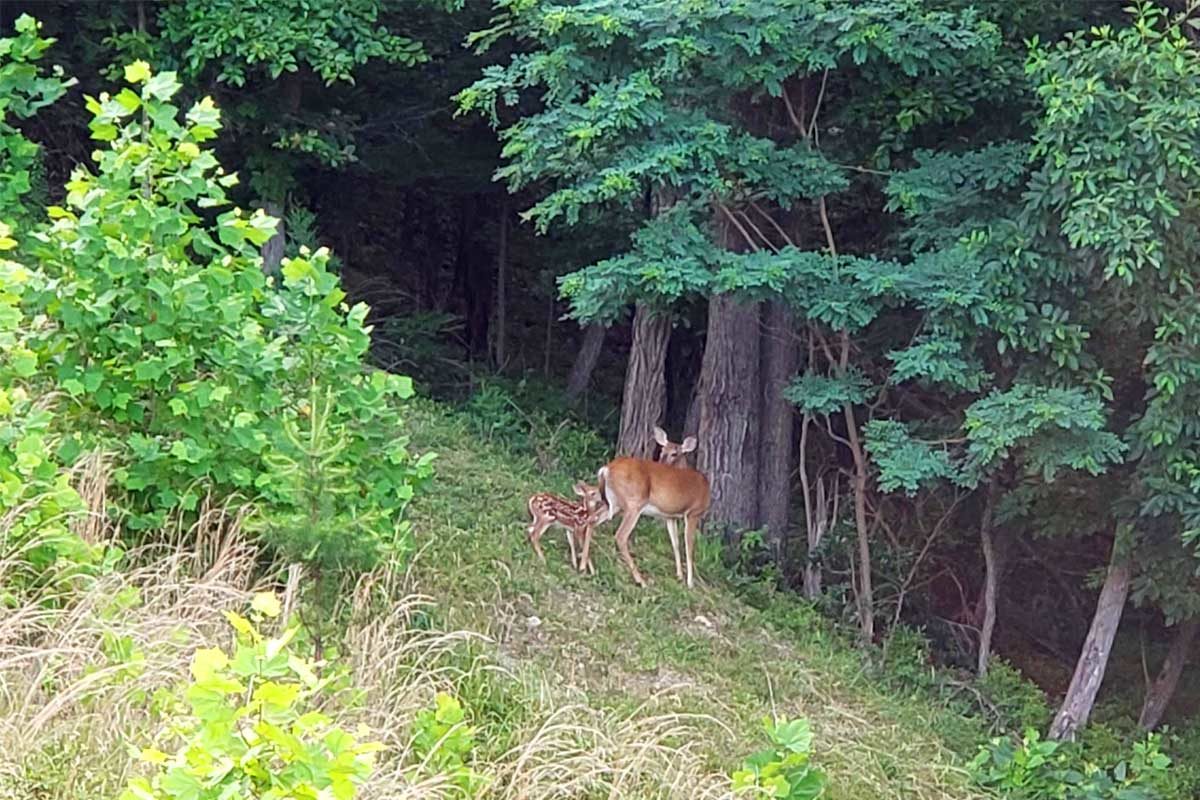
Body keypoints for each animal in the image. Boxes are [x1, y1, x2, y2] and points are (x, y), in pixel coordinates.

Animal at [579, 426, 710, 588]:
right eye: (661, 450)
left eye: (674, 453)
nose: (661, 461)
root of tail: (607, 469)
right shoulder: (694, 512)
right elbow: (689, 546)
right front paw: (690, 583)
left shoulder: (670, 516)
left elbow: (675, 543)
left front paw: (679, 575)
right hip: (634, 503)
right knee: (620, 536)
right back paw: (640, 580)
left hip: (614, 503)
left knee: (592, 519)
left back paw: (583, 566)